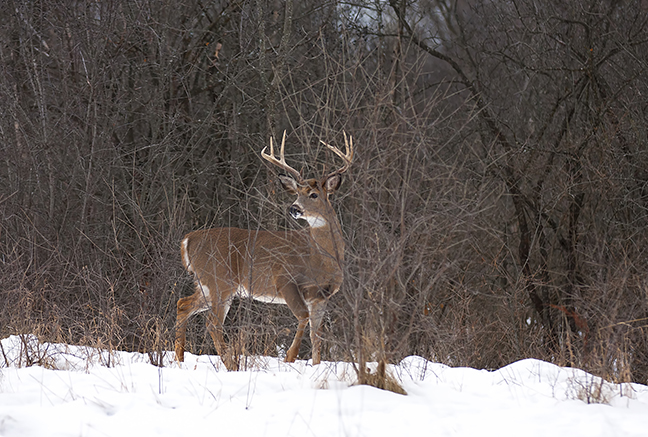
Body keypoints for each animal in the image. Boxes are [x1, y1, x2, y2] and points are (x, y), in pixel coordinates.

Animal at [175, 131, 352, 370]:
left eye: (314, 194)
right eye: (297, 193)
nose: (294, 208)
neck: (321, 259)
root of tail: (188, 239)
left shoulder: (321, 296)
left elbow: (317, 336)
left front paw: (314, 365)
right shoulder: (285, 280)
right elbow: (303, 317)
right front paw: (290, 357)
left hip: (206, 284)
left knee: (183, 304)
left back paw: (179, 359)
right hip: (219, 280)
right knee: (213, 323)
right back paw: (231, 366)